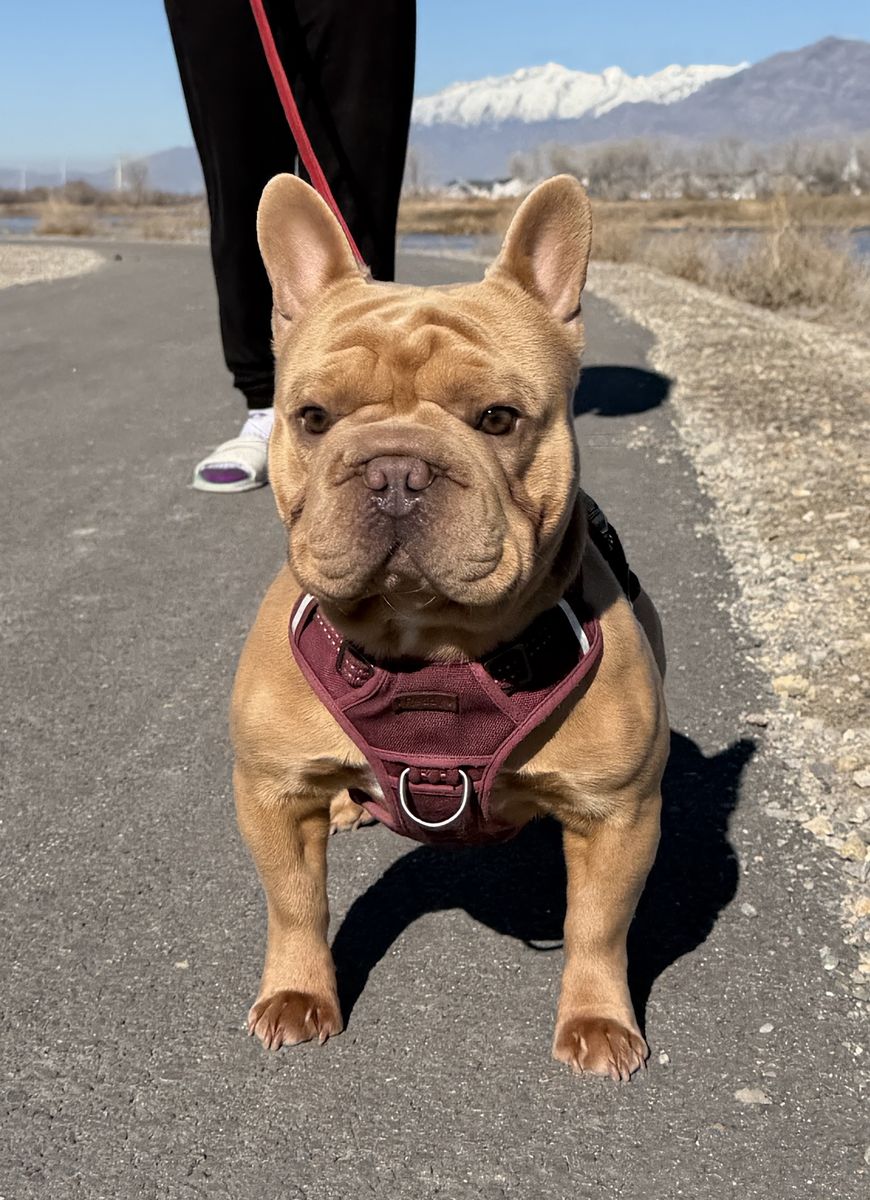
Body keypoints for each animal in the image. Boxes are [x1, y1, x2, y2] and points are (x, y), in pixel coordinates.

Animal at [230, 173, 668, 1080]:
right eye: (312, 417)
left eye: (498, 418)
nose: (396, 470)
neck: (429, 647)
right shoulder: (270, 792)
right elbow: (294, 903)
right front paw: (297, 993)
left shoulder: (619, 815)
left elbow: (598, 926)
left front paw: (598, 1019)